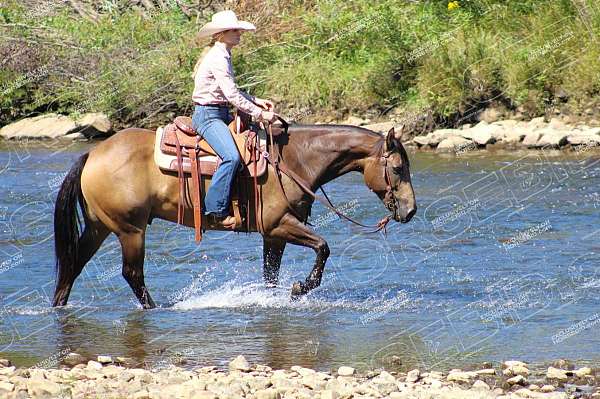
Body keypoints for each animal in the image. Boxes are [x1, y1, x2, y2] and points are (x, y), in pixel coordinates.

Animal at [51, 122, 414, 310]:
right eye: (398, 168)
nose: (410, 211)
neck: (295, 161)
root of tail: (93, 153)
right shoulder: (280, 225)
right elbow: (323, 247)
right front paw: (301, 288)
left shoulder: (273, 234)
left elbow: (270, 274)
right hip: (130, 230)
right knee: (132, 274)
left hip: (100, 226)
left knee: (74, 263)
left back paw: (58, 306)